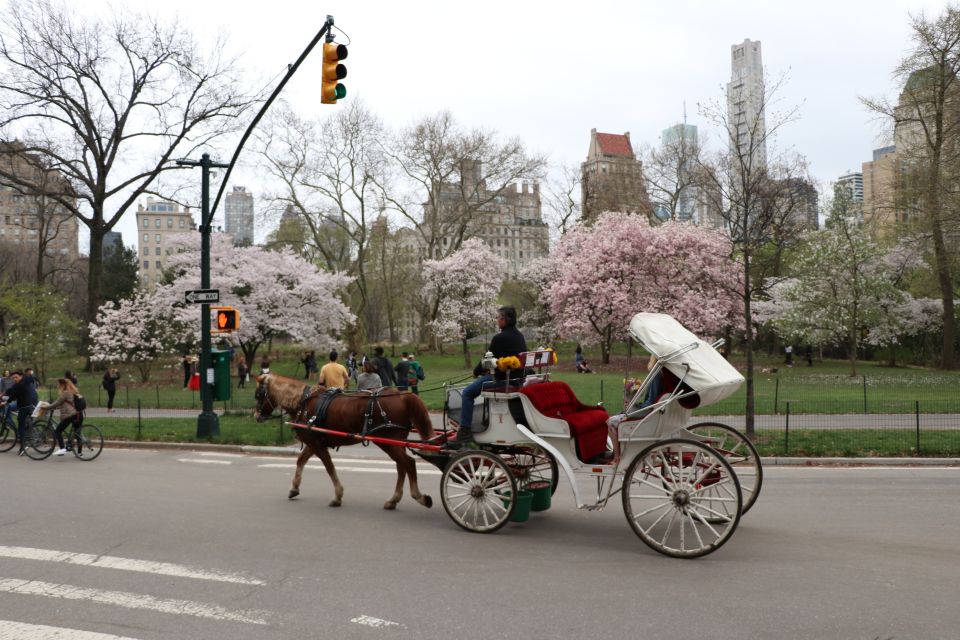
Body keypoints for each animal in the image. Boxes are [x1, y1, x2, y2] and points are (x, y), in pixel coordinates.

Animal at [253, 370, 436, 510]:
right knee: (401, 466)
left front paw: (337, 495)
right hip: (394, 442)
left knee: (408, 464)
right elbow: (301, 461)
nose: (256, 416)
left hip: (387, 442)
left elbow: (329, 467)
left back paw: (418, 496)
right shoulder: (314, 443)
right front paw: (294, 488)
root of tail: (402, 395)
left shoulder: (316, 445)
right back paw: (393, 500)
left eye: (259, 395)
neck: (302, 402)